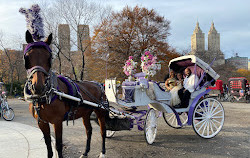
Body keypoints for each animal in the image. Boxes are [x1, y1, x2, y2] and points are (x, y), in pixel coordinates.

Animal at [23, 30, 108, 158]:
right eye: (27, 57)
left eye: (49, 58)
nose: (38, 86)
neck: (46, 97)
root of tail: (98, 84)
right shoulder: (42, 123)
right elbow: (48, 145)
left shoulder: (57, 121)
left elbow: (58, 145)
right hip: (85, 113)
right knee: (89, 131)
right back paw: (85, 152)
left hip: (100, 112)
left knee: (103, 131)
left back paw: (102, 152)